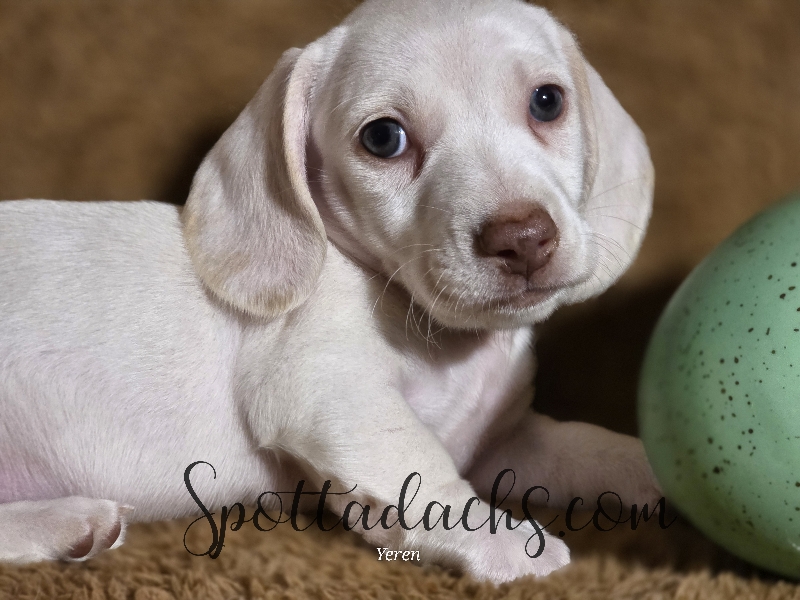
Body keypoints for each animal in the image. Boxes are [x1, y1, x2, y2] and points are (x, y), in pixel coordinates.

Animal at [0, 0, 658, 583]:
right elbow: (425, 469)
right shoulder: (330, 390)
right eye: (384, 138)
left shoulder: (508, 443)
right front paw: (508, 544)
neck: (446, 344)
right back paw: (66, 522)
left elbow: (591, 446)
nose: (522, 239)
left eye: (548, 101)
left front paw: (654, 471)